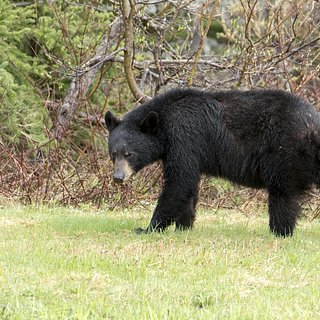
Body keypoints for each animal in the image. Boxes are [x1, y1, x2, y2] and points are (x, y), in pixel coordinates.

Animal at [105, 88, 320, 238]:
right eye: (113, 153)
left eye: (129, 154)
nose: (118, 177)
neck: (165, 122)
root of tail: (313, 122)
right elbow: (188, 187)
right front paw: (184, 226)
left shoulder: (185, 136)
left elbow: (179, 183)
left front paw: (148, 228)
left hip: (284, 151)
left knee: (282, 194)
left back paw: (280, 231)